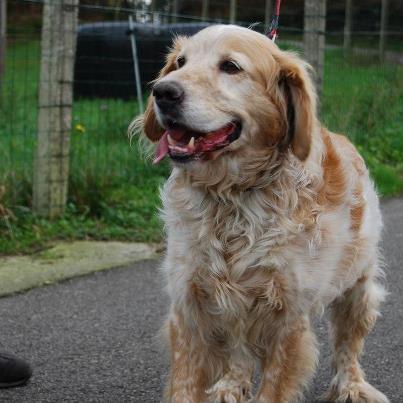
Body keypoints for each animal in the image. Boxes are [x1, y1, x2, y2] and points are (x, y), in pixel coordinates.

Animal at [131, 25, 390, 403]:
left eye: (230, 66)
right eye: (180, 62)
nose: (163, 91)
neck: (231, 200)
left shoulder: (289, 319)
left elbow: (274, 386)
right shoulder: (189, 307)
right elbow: (185, 385)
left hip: (357, 289)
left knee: (348, 347)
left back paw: (352, 386)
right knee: (239, 350)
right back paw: (230, 384)